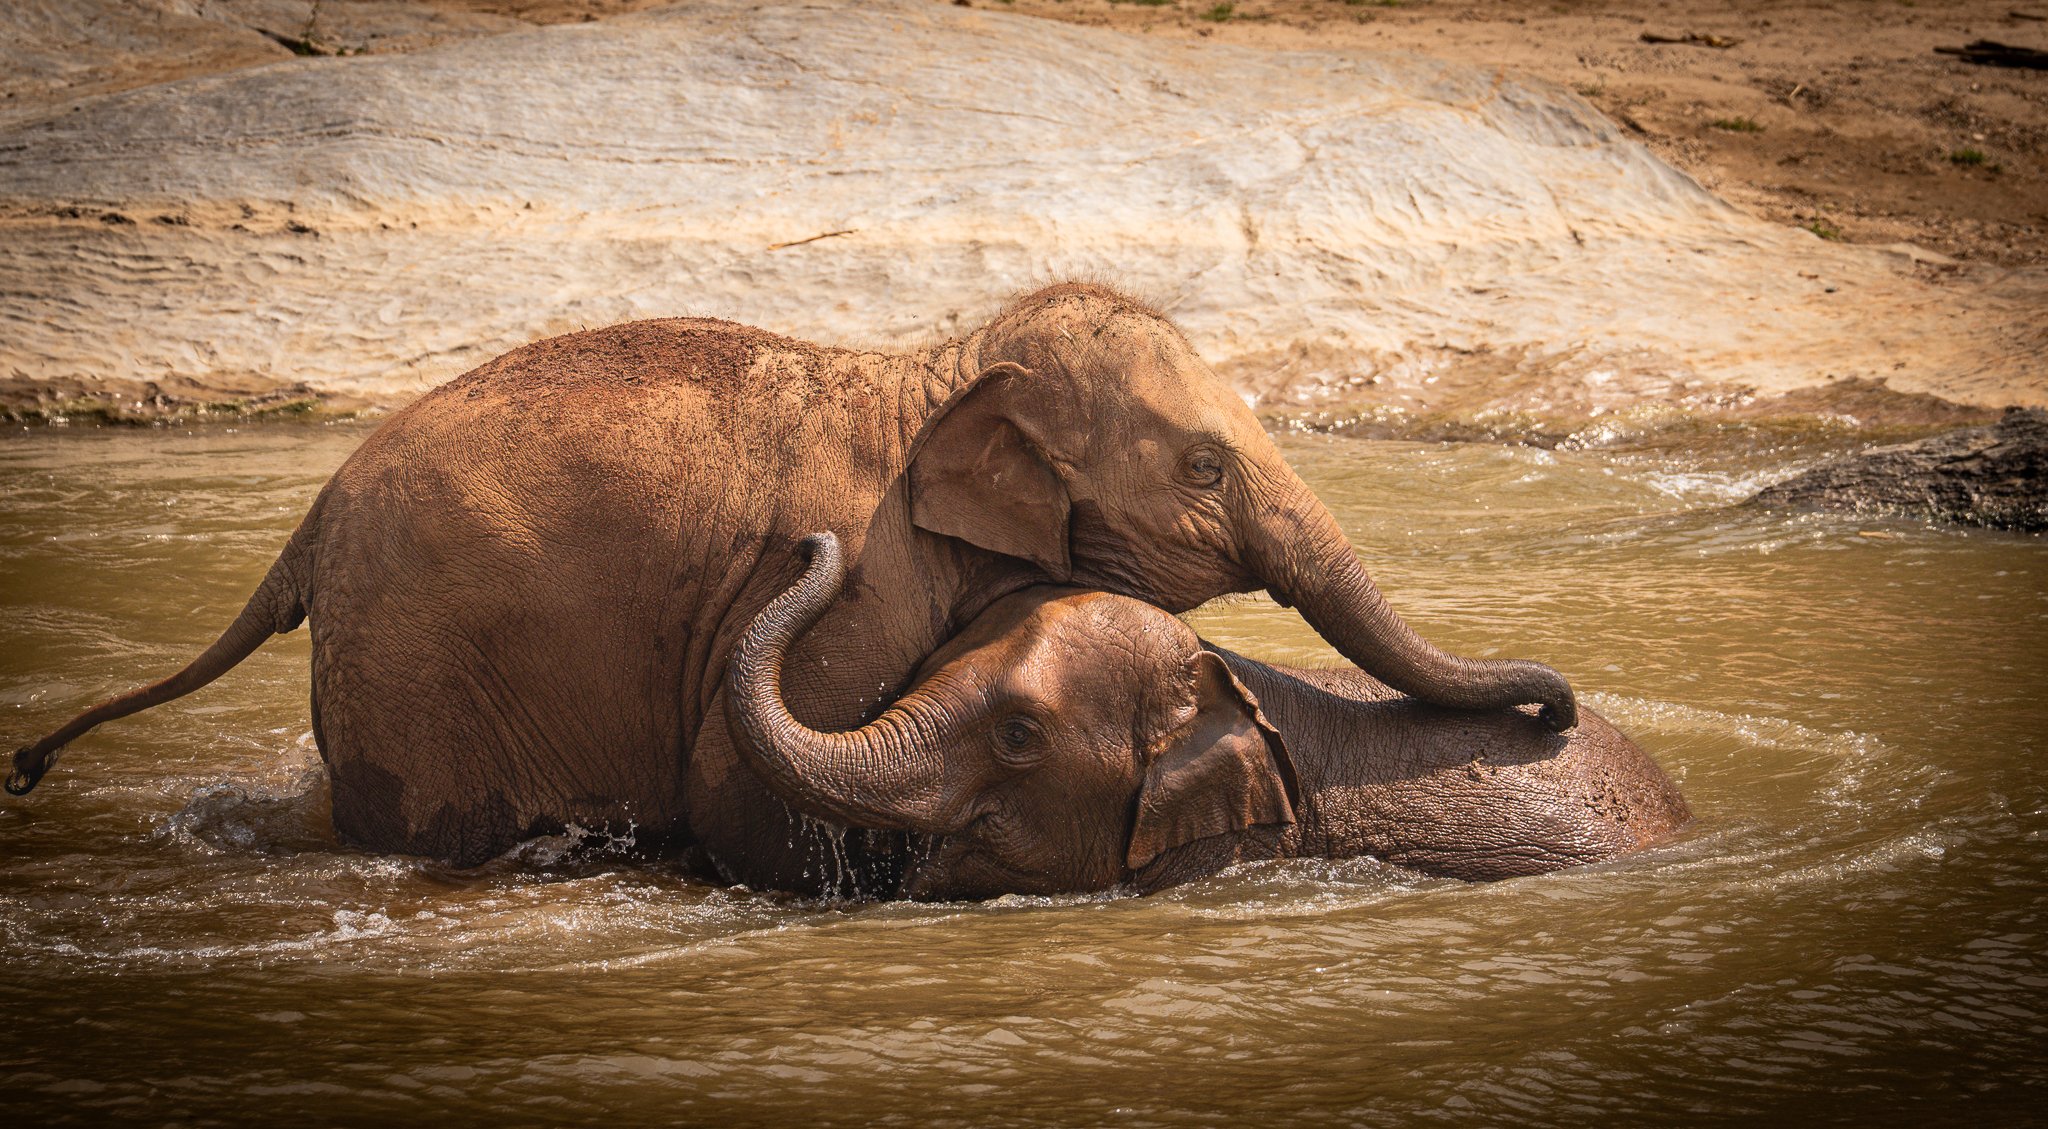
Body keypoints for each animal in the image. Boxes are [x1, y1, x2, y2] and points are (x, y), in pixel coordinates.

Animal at [10, 283, 1575, 878]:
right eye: (1202, 467)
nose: (1554, 707)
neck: (943, 368)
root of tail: (311, 522)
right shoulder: (863, 576)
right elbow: (741, 789)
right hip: (417, 658)